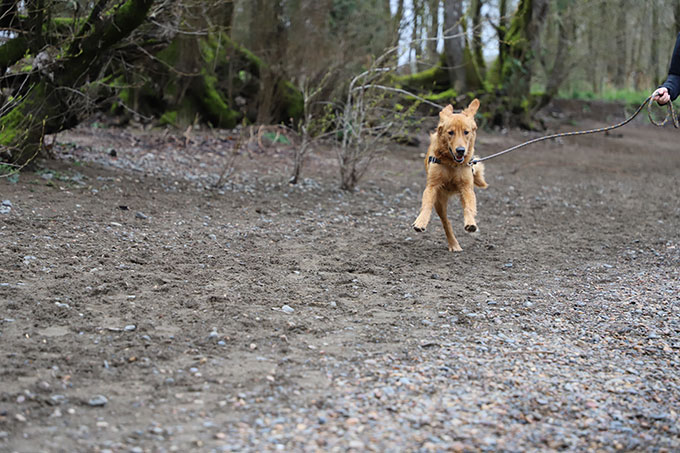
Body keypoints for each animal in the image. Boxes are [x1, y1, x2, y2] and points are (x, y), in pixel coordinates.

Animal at [410, 98, 488, 251]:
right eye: (450, 132)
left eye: (466, 132)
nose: (460, 150)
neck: (452, 164)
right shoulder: (432, 187)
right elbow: (426, 205)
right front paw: (420, 222)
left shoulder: (466, 188)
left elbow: (469, 207)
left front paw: (471, 223)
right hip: (440, 202)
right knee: (446, 222)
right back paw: (453, 244)